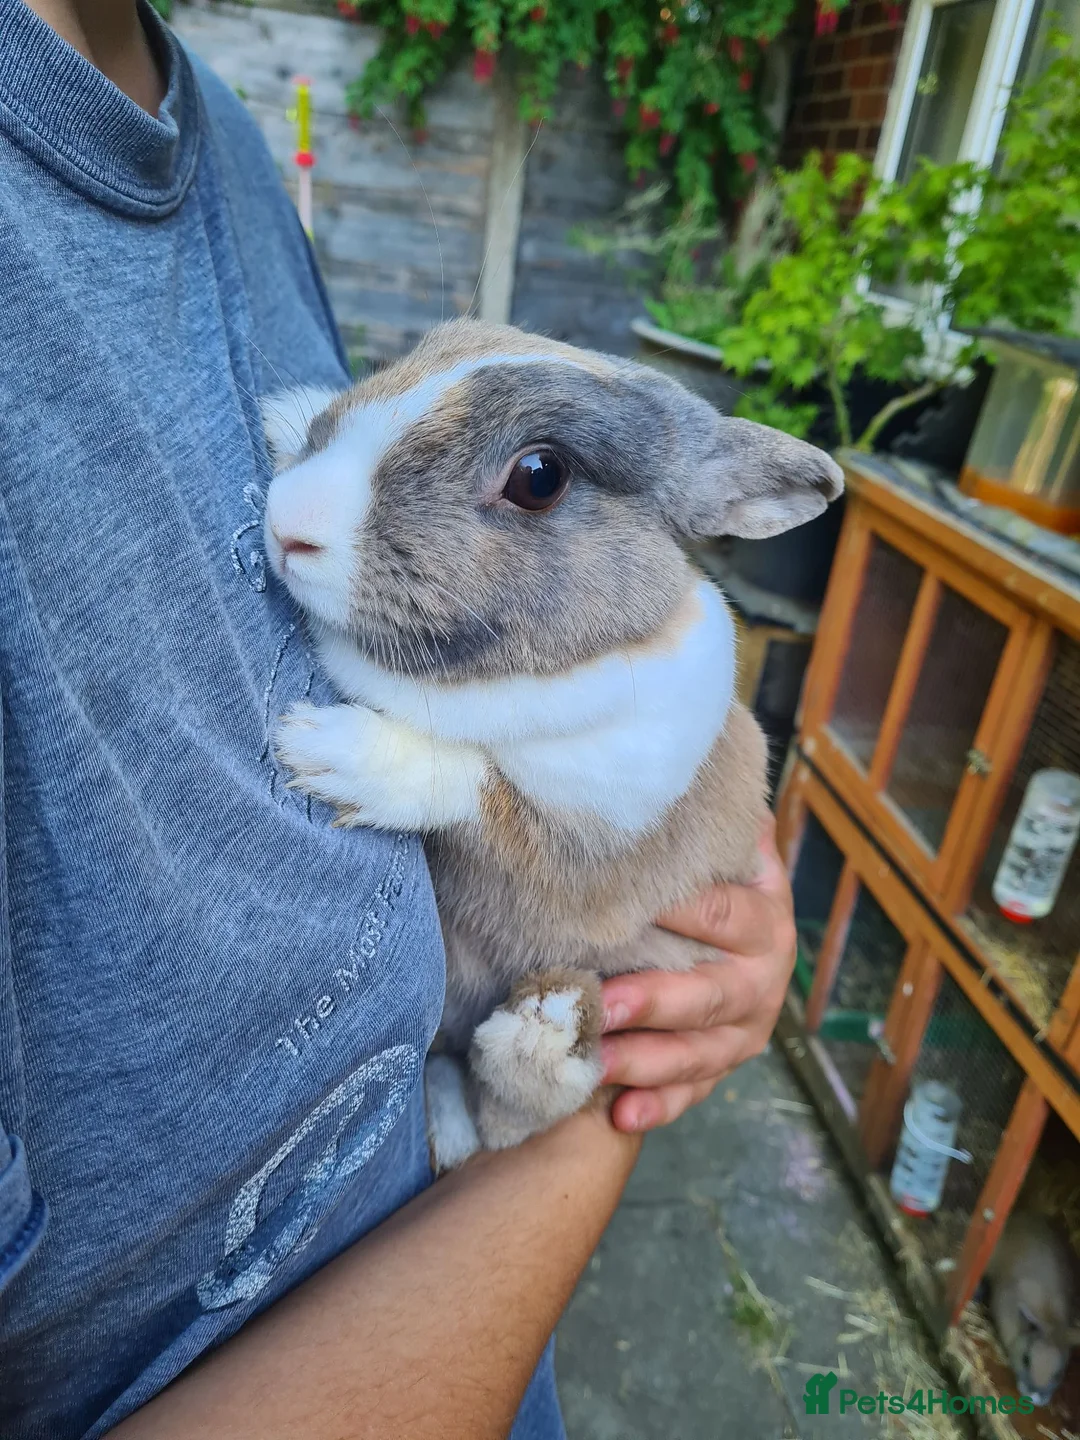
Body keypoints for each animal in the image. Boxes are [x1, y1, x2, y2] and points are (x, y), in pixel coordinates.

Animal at [260, 318, 843, 1170]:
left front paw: (329, 752)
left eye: (540, 477)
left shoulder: (587, 857)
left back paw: (547, 1029)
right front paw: (284, 413)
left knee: (526, 1108)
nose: (288, 523)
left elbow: (484, 794)